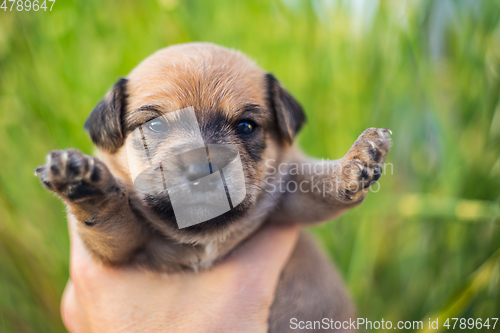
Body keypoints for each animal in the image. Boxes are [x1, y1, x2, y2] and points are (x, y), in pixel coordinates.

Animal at [37, 42, 392, 330]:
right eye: (155, 125)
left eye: (246, 126)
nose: (202, 169)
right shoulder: (121, 249)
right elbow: (110, 217)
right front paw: (85, 186)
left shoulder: (293, 195)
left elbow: (320, 183)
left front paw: (356, 162)